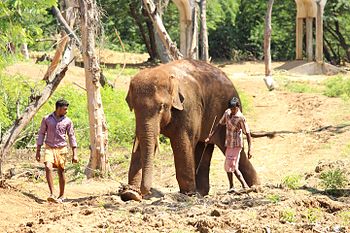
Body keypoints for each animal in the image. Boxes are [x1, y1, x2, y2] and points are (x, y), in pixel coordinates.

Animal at [123, 59, 260, 199]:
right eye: (133, 108)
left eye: (162, 106)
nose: (147, 191)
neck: (165, 72)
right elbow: (140, 143)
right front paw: (130, 194)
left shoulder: (189, 106)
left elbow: (182, 142)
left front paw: (187, 194)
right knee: (203, 148)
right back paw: (201, 193)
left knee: (231, 150)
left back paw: (255, 187)